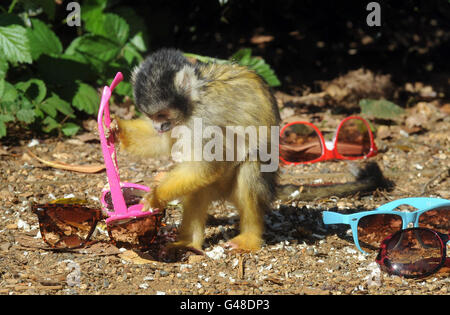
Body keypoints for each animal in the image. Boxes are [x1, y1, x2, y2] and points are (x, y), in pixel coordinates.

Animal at [117, 48, 278, 252]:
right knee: (197, 188)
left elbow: (206, 166)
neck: (194, 101)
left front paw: (155, 196)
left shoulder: (204, 119)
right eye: (151, 116)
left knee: (250, 165)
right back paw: (188, 242)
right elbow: (162, 142)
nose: (158, 126)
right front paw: (115, 128)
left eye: (161, 114)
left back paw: (250, 237)